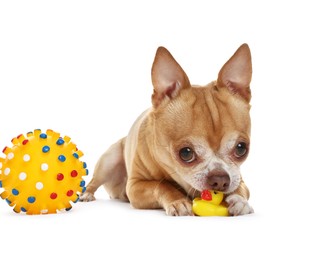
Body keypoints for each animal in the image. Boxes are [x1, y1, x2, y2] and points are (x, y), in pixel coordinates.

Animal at [80, 44, 254, 215]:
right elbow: (161, 185)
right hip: (108, 162)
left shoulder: (239, 178)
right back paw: (86, 194)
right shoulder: (135, 186)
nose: (220, 179)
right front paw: (178, 202)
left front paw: (239, 201)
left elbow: (240, 188)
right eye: (186, 153)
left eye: (241, 148)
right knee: (94, 181)